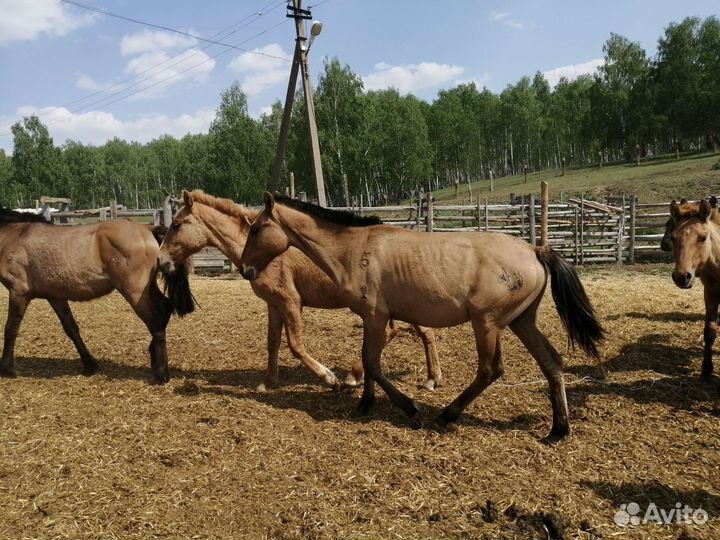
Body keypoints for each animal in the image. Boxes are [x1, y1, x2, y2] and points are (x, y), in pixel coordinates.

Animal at [0, 208, 195, 382]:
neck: (14, 236)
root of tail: (147, 228)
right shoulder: (55, 296)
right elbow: (71, 328)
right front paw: (90, 364)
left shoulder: (19, 292)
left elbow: (10, 328)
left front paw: (7, 368)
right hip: (146, 288)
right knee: (164, 309)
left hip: (135, 291)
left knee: (156, 318)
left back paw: (162, 374)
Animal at [156, 190, 443, 391]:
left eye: (177, 224)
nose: (160, 260)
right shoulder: (273, 305)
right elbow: (272, 342)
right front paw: (268, 382)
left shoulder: (290, 302)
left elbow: (294, 344)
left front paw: (328, 377)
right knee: (416, 332)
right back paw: (430, 377)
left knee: (404, 331)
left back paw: (358, 376)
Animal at [239, 193, 605, 442]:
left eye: (256, 229)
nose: (244, 269)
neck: (355, 250)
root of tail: (534, 250)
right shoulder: (373, 318)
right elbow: (368, 360)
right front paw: (365, 404)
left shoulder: (376, 316)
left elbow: (373, 363)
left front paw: (409, 407)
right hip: (522, 321)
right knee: (552, 362)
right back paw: (558, 430)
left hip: (487, 323)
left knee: (491, 370)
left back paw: (447, 415)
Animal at [669, 198, 720, 382]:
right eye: (673, 237)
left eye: (703, 237)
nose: (681, 277)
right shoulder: (710, 294)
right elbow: (709, 332)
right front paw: (706, 369)